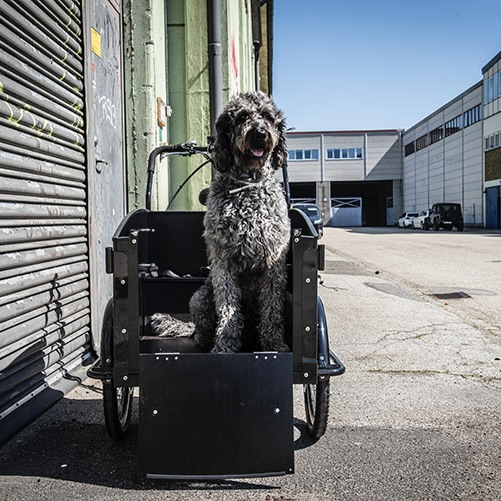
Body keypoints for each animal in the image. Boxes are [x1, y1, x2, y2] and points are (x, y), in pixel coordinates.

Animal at [151, 93, 290, 352]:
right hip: (199, 298)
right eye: (243, 116)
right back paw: (206, 340)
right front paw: (225, 346)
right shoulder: (223, 259)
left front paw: (274, 343)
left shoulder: (273, 263)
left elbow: (271, 308)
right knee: (201, 331)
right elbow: (228, 307)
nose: (260, 134)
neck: (248, 186)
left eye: (267, 116)